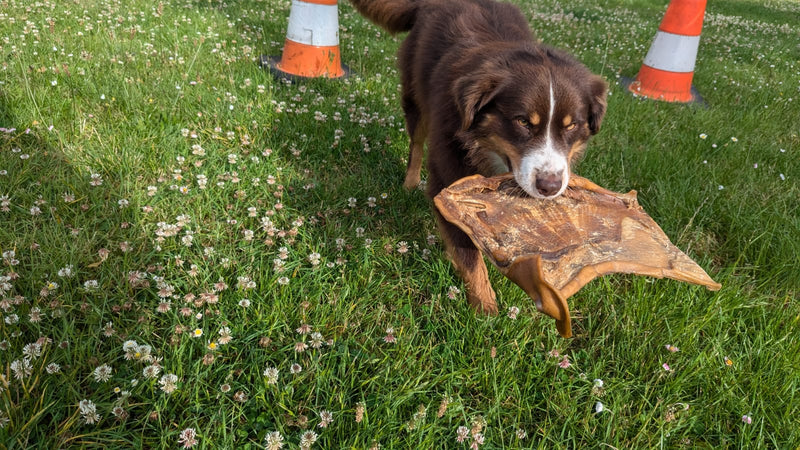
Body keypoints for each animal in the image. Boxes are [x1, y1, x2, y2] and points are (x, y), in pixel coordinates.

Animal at [350, 0, 608, 314]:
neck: (485, 148)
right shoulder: (447, 178)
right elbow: (468, 251)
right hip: (415, 96)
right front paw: (485, 307)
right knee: (416, 143)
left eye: (571, 125)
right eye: (523, 122)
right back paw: (410, 182)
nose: (549, 186)